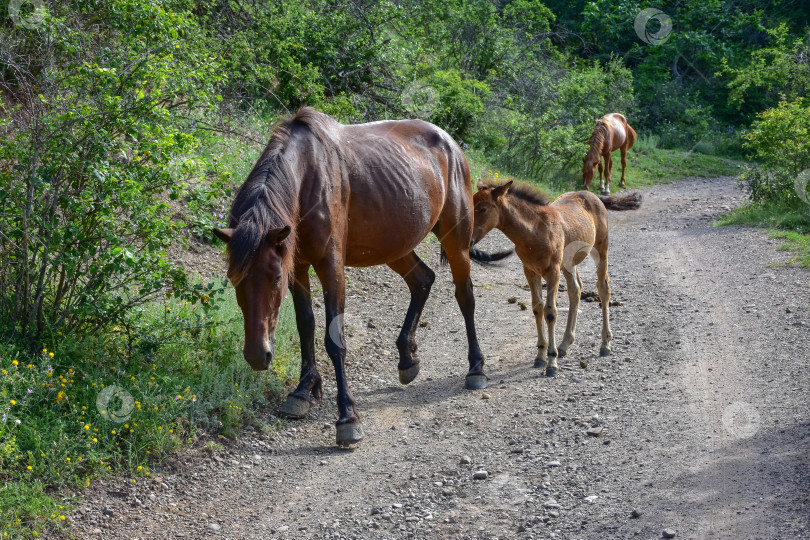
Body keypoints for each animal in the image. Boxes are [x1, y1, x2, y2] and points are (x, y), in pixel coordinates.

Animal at [211, 106, 502, 448]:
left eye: (274, 279)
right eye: (234, 279)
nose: (258, 355)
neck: (308, 176)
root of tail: (452, 145)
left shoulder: (330, 267)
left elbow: (334, 339)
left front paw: (347, 418)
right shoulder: (297, 266)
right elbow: (306, 326)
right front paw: (303, 391)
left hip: (456, 240)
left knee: (465, 296)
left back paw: (476, 369)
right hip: (395, 245)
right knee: (422, 280)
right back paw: (408, 359)